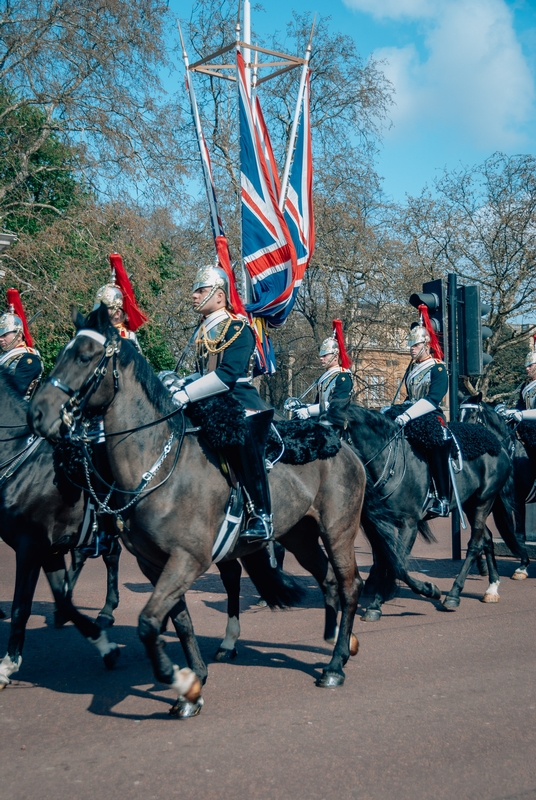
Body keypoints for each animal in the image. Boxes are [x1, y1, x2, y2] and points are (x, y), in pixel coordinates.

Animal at [340, 404, 520, 616]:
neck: (390, 463)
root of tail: (499, 445)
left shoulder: (409, 524)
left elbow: (398, 564)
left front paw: (426, 590)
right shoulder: (378, 524)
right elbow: (387, 558)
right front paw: (380, 596)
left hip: (483, 502)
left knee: (475, 544)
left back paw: (453, 595)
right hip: (470, 505)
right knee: (487, 538)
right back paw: (492, 588)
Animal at [460, 394, 532, 580]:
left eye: (472, 415)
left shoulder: (517, 500)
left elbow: (519, 534)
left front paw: (523, 565)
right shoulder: (486, 499)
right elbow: (481, 532)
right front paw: (482, 565)